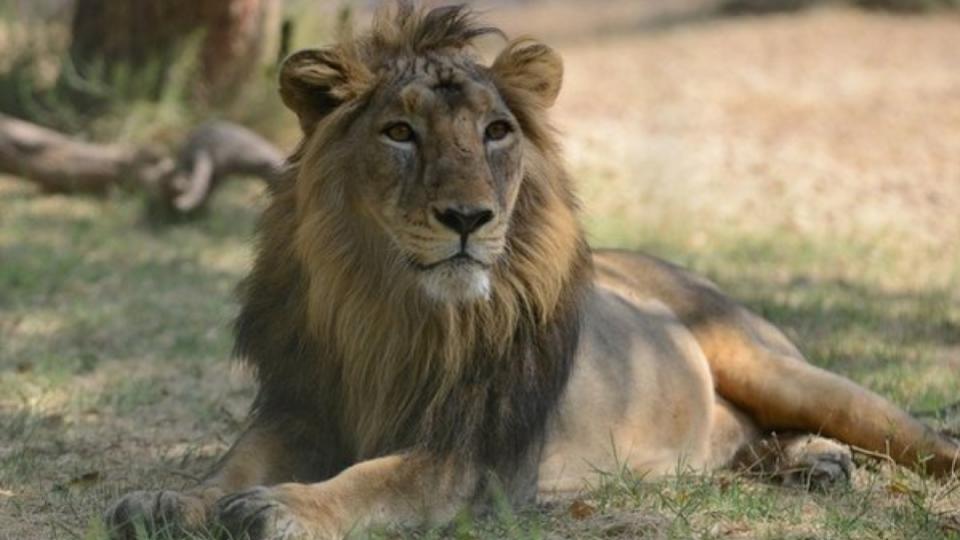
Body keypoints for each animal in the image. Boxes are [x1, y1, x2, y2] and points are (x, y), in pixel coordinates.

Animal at [105, 3, 960, 539]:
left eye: (495, 132)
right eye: (399, 133)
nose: (468, 218)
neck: (387, 308)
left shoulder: (472, 459)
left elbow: (375, 480)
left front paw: (282, 508)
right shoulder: (297, 407)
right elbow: (232, 464)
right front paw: (170, 500)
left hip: (780, 368)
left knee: (914, 437)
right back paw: (810, 463)